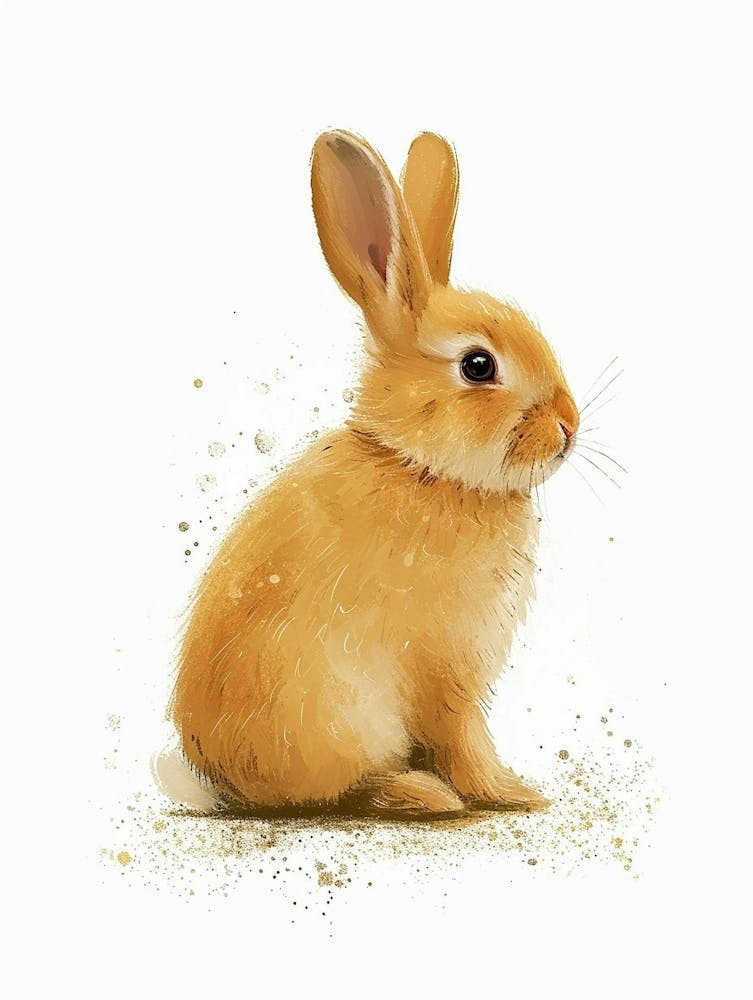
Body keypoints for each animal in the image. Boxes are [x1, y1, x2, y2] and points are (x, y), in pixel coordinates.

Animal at [164, 130, 580, 815]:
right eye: (478, 366)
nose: (569, 428)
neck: (425, 470)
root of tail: (220, 776)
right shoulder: (448, 675)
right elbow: (466, 740)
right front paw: (512, 793)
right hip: (341, 718)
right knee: (343, 793)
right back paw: (422, 795)